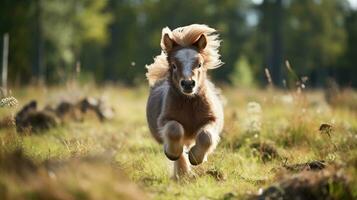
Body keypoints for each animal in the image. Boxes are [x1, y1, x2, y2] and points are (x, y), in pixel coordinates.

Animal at [145, 23, 222, 178]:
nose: (188, 84)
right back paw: (182, 174)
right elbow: (174, 130)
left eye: (199, 64)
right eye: (174, 65)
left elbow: (206, 136)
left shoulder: (211, 119)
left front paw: (196, 157)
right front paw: (172, 154)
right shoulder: (165, 120)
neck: (189, 104)